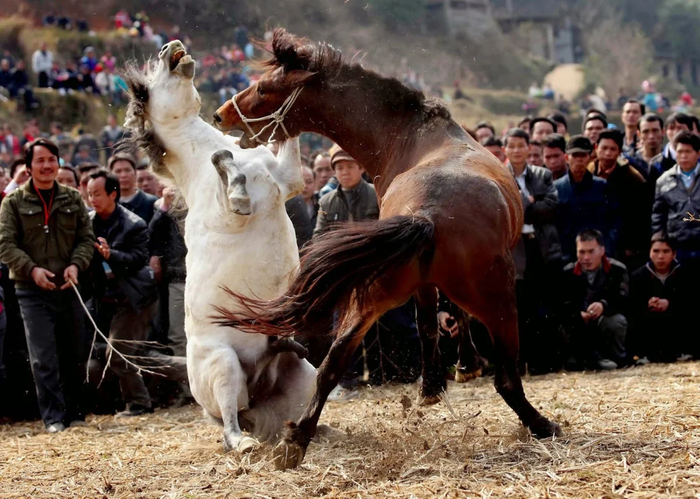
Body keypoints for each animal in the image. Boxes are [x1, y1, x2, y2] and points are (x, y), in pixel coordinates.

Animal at [122, 42, 314, 454]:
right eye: (146, 90)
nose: (171, 47)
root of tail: (255, 392)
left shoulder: (288, 180)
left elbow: (286, 149)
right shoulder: (227, 213)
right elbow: (228, 177)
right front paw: (234, 181)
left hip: (303, 378)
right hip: (223, 367)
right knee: (229, 424)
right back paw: (244, 443)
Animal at [213, 30, 564, 468]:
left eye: (264, 88)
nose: (220, 115)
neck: (412, 137)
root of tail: (424, 214)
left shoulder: (420, 284)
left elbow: (430, 323)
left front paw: (435, 385)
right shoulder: (440, 286)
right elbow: (442, 320)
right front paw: (452, 375)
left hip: (370, 298)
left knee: (333, 362)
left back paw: (295, 441)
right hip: (498, 299)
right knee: (506, 378)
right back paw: (542, 425)